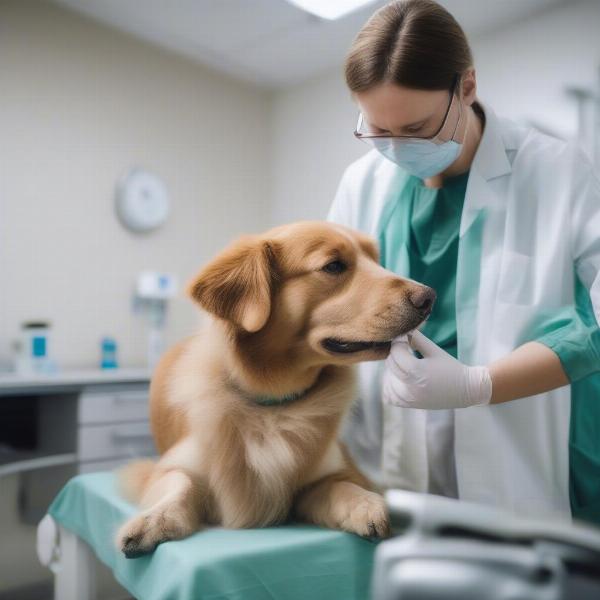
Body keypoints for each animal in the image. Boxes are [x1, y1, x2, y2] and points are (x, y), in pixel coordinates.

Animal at [116, 220, 436, 556]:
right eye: (334, 265)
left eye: (376, 260)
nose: (429, 297)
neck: (274, 404)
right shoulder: (166, 468)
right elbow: (179, 484)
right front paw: (153, 520)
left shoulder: (318, 480)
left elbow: (342, 485)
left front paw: (367, 504)